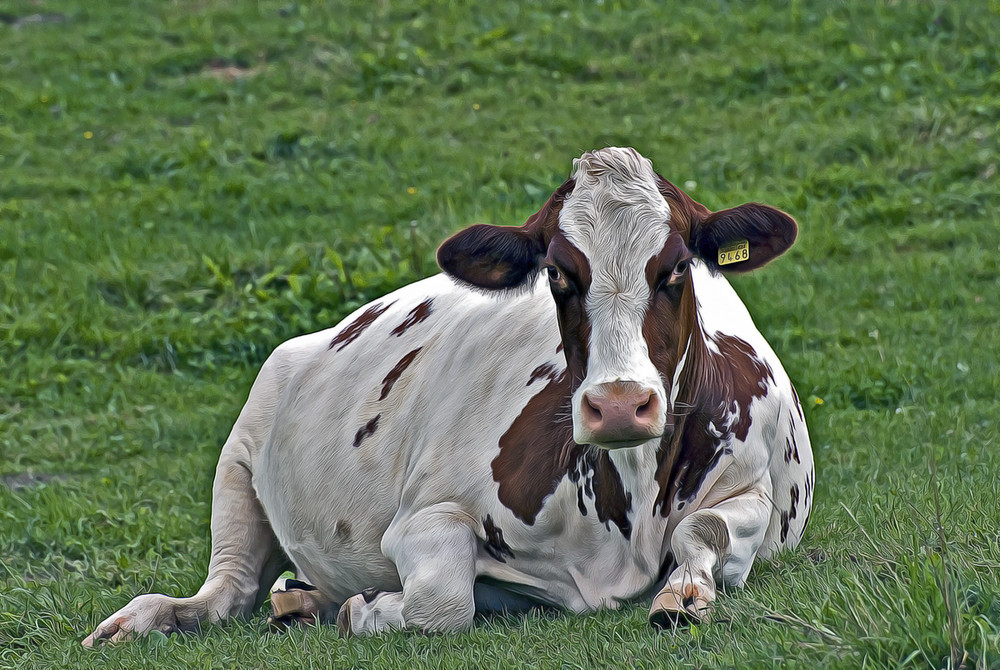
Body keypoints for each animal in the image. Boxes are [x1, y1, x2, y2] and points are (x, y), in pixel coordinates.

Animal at [86, 147, 812, 644]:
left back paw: (303, 600)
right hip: (239, 454)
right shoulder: (424, 516)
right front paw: (368, 609)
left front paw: (683, 595)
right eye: (557, 272)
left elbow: (704, 529)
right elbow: (442, 601)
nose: (617, 405)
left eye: (678, 267)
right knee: (226, 590)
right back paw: (148, 618)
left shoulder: (752, 492)